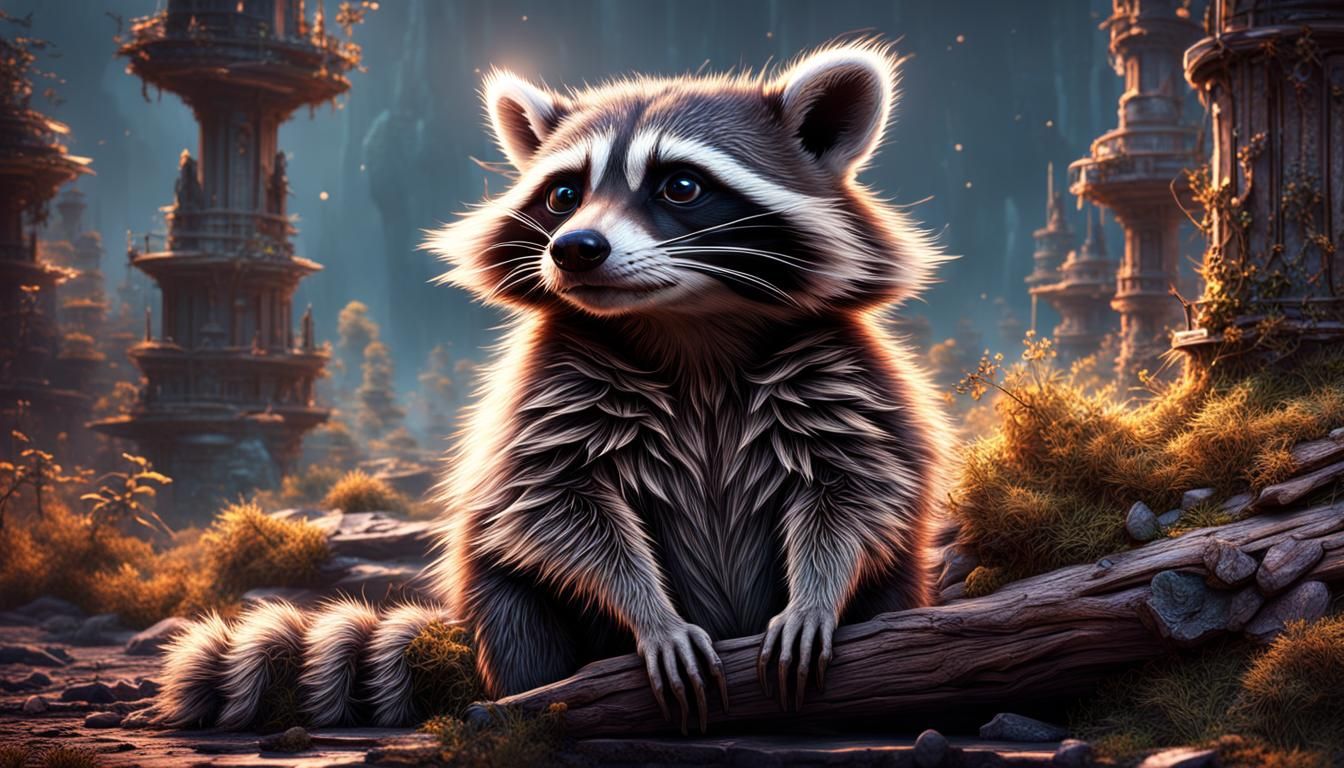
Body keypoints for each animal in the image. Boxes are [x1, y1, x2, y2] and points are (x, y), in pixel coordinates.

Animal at [158, 40, 953, 734]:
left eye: (681, 185)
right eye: (565, 194)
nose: (574, 249)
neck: (689, 324)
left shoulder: (836, 368)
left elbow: (856, 490)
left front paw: (815, 596)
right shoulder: (554, 387)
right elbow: (553, 507)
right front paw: (652, 615)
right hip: (502, 609)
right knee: (517, 609)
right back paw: (533, 695)